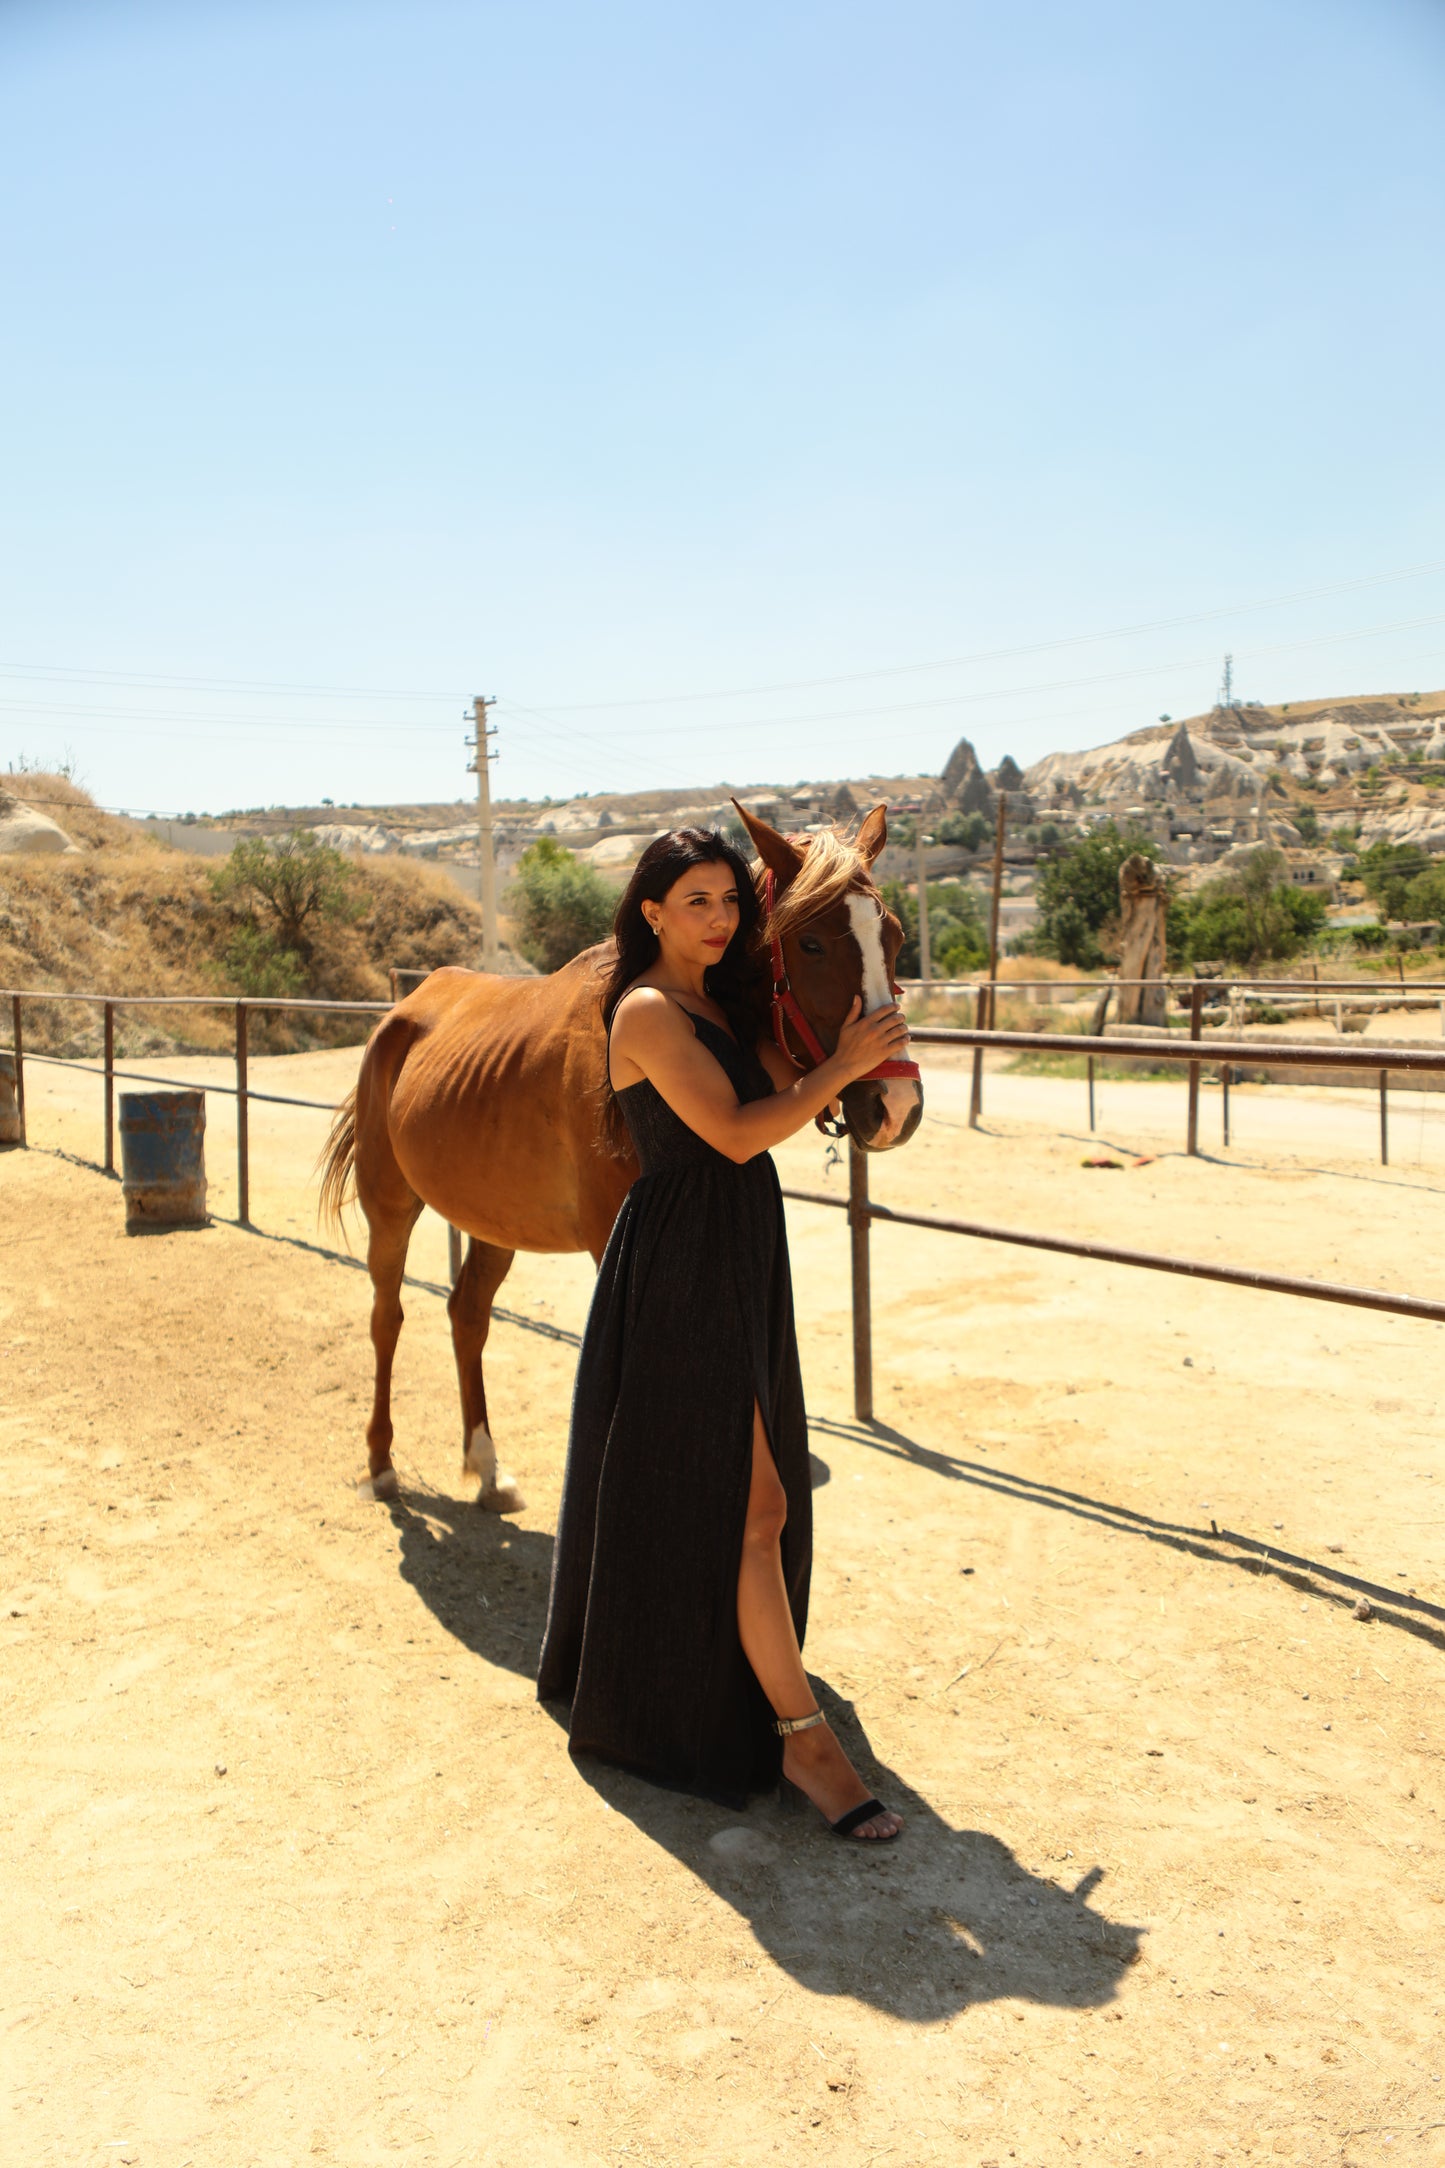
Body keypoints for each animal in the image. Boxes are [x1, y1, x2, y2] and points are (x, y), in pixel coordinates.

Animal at [318, 802, 927, 1508]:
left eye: (895, 938)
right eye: (811, 944)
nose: (897, 1105)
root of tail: (404, 1011)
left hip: (494, 1220)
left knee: (467, 1315)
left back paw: (489, 1467)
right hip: (390, 1205)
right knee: (386, 1316)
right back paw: (381, 1463)